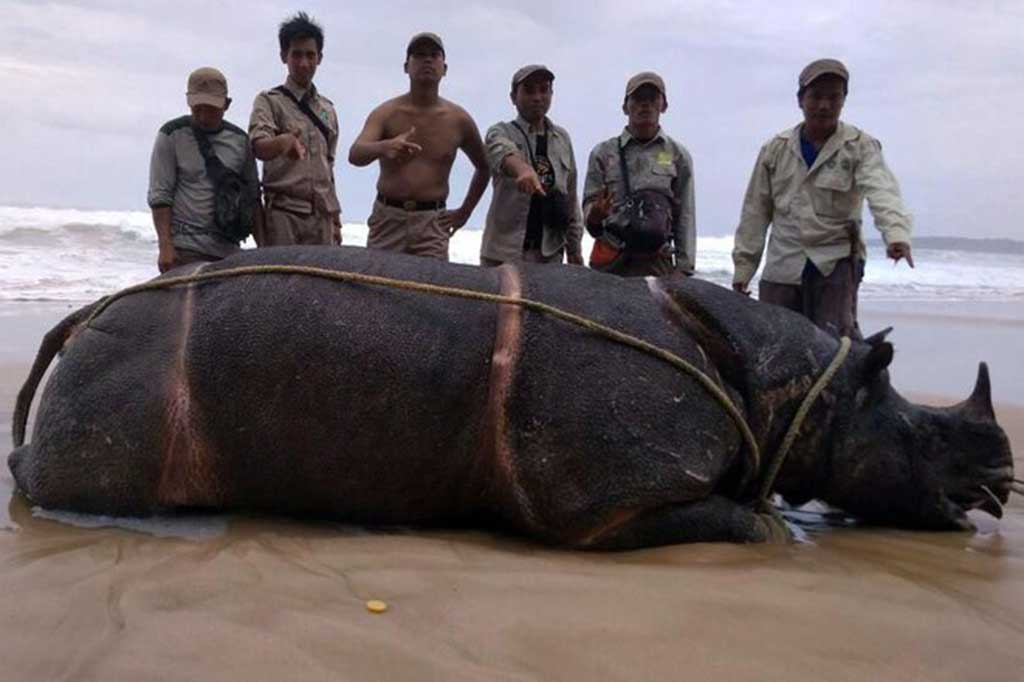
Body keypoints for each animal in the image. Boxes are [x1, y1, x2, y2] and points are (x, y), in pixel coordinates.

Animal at [7, 246, 1016, 548]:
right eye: (921, 438)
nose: (1001, 477)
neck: (795, 388)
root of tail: (90, 314)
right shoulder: (608, 505)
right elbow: (738, 519)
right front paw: (763, 520)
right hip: (127, 369)